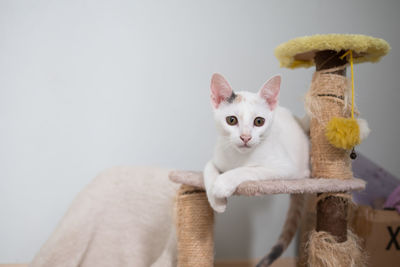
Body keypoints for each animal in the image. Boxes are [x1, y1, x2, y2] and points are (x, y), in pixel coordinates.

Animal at [203, 73, 310, 214]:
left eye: (259, 121)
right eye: (231, 120)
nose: (245, 137)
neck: (239, 156)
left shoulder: (287, 168)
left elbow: (249, 169)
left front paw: (222, 183)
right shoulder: (219, 155)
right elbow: (208, 167)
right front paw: (217, 201)